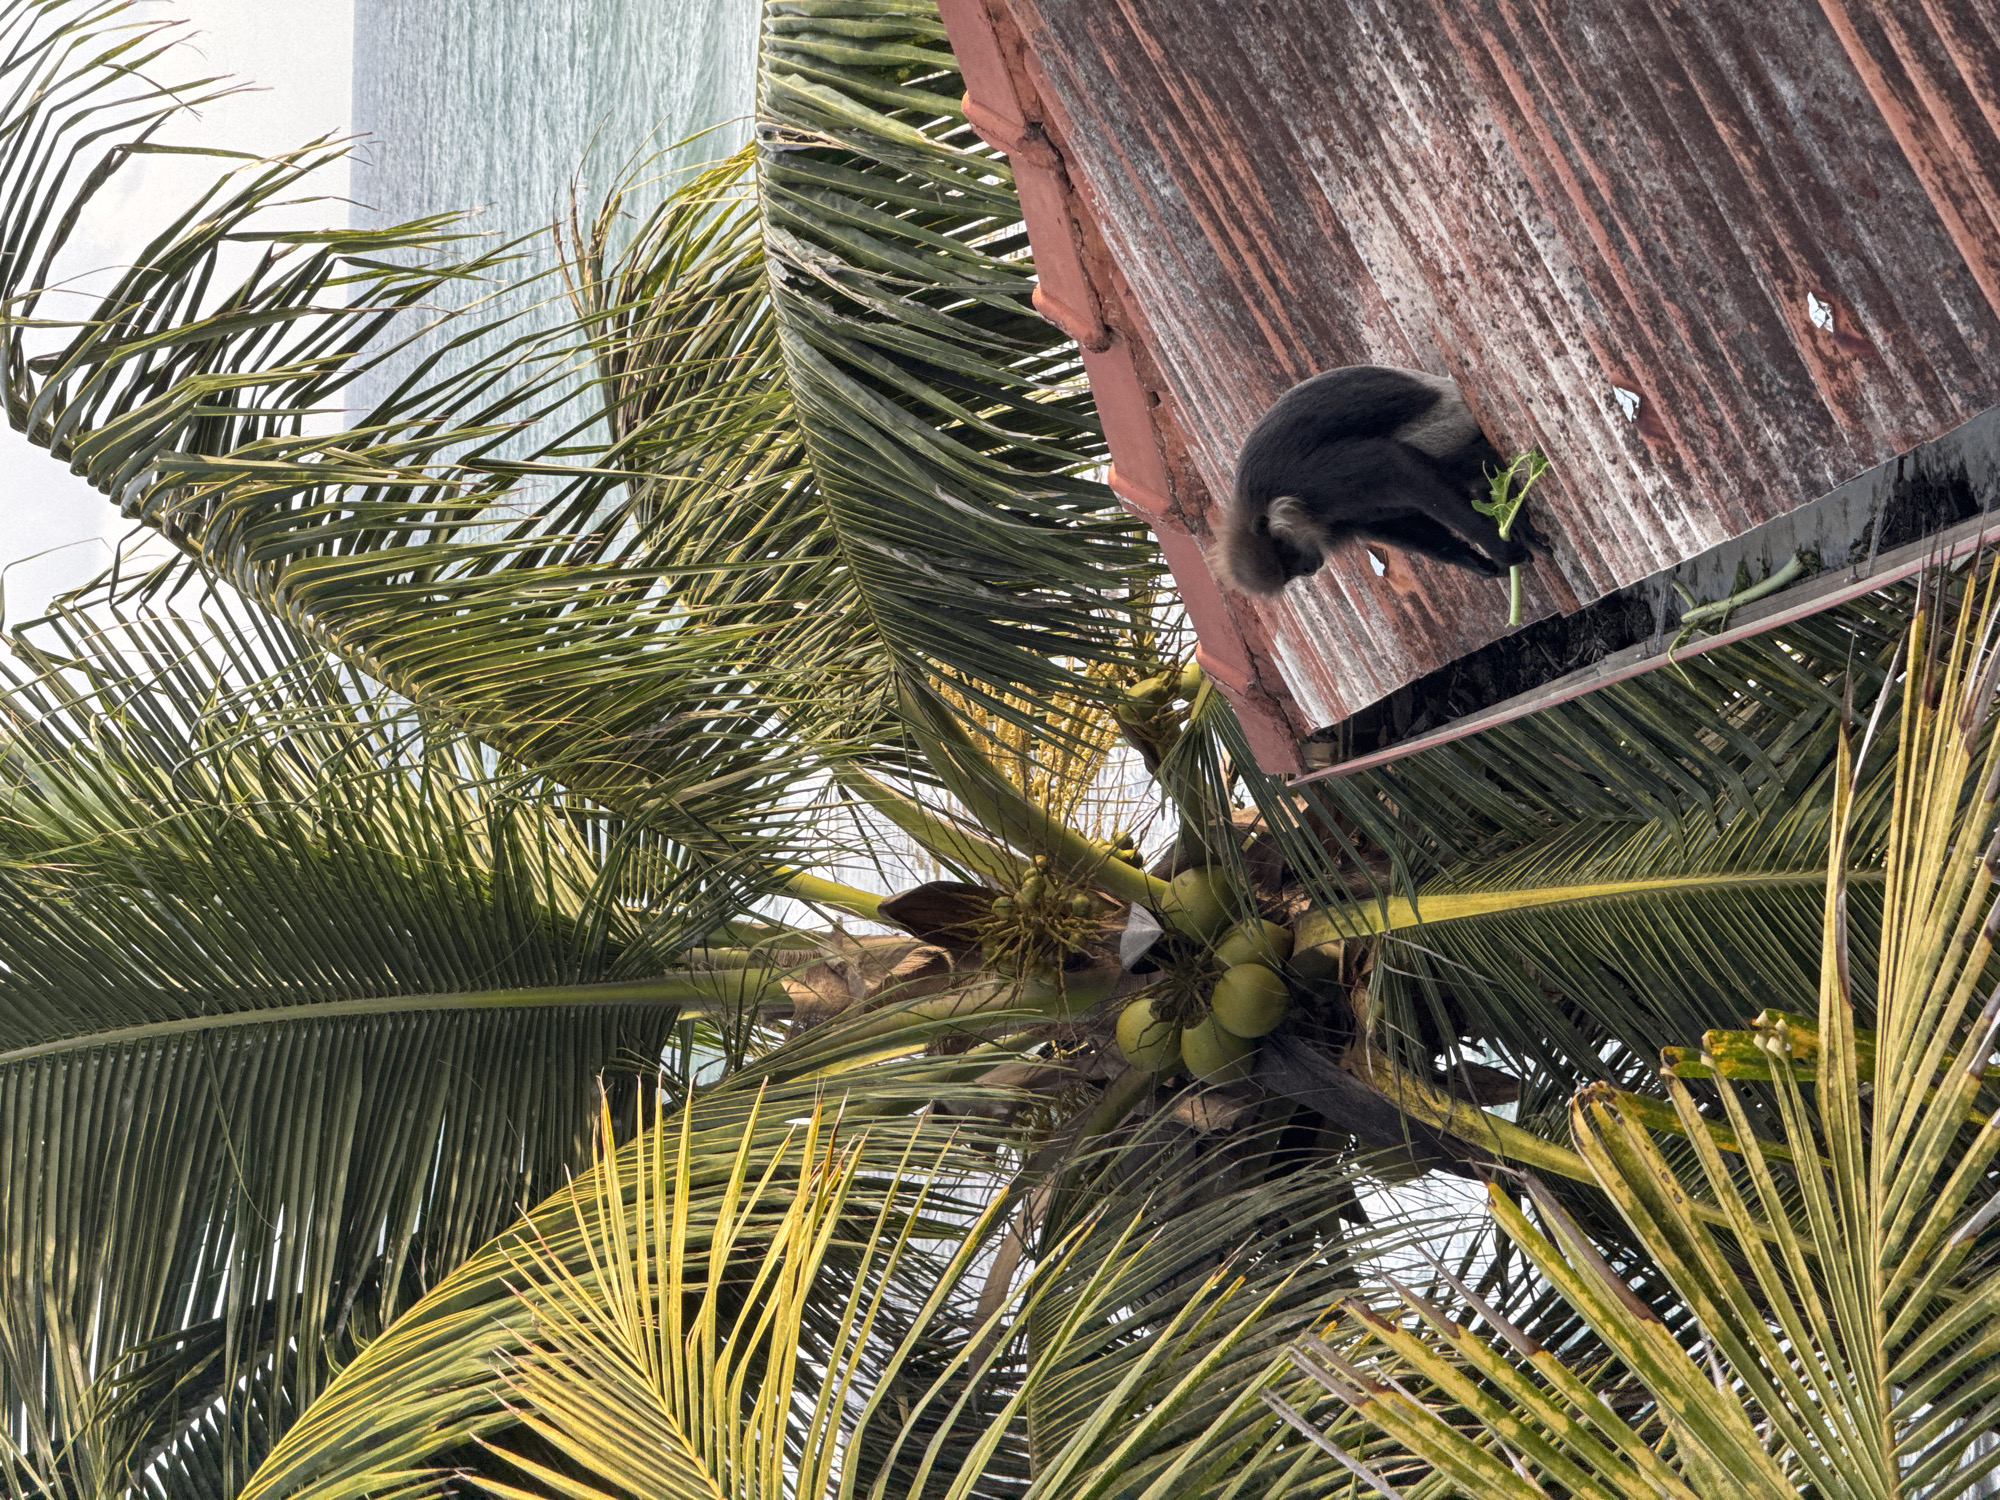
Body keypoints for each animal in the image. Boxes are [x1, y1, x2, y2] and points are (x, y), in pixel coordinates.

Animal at [1219, 365, 1547, 596]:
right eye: (1292, 574)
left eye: (1289, 556)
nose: (1310, 570)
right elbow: (1394, 526)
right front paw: (1477, 563)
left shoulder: (1310, 478)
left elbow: (1395, 467)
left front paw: (1497, 546)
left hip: (1449, 422)